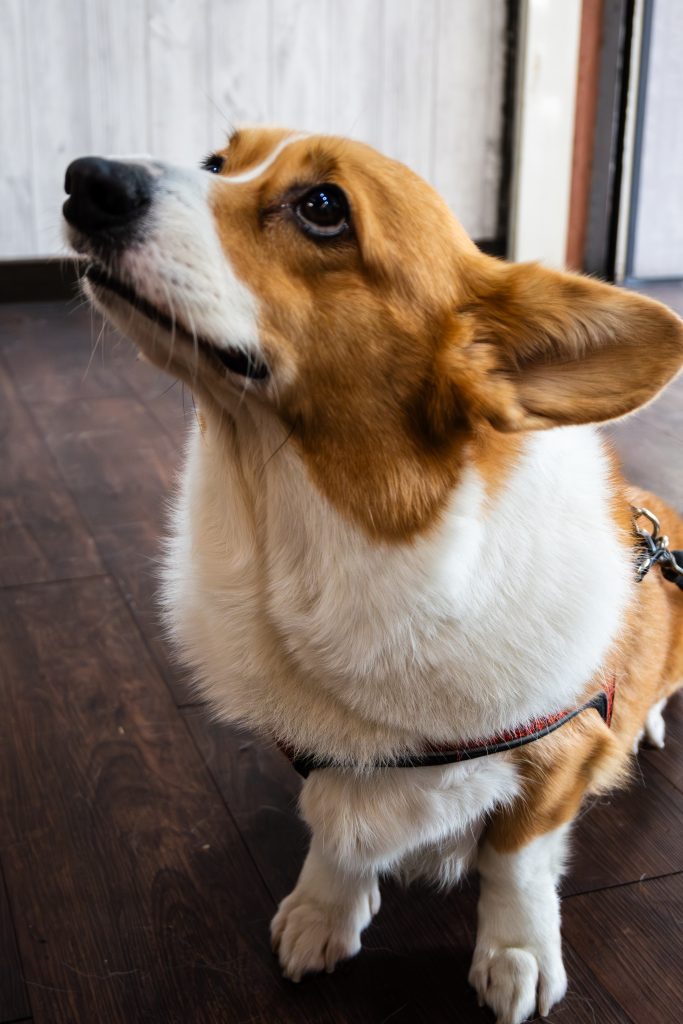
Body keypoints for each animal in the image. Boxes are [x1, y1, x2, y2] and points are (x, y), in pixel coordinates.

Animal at [63, 127, 683, 1024]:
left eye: (323, 206)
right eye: (219, 162)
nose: (84, 181)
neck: (324, 544)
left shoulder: (557, 764)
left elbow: (515, 862)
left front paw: (517, 952)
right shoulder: (329, 749)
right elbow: (335, 836)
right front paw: (324, 913)